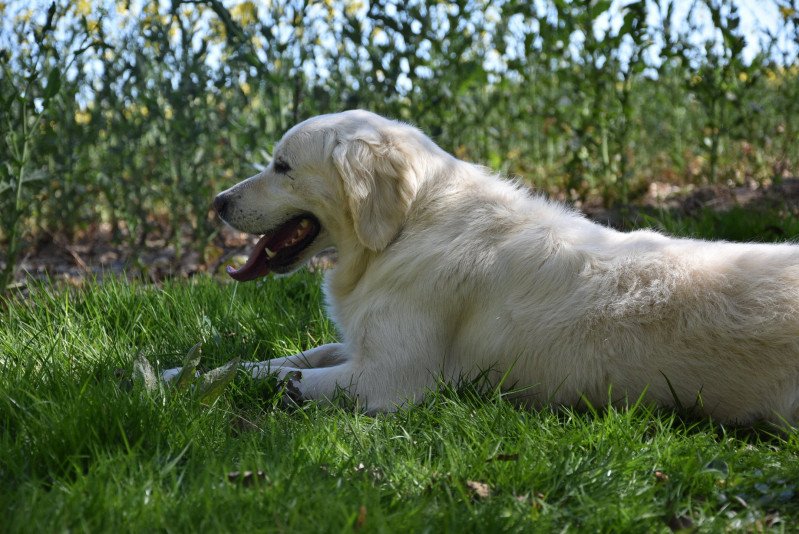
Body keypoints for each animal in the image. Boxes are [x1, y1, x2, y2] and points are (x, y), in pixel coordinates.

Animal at [170, 110, 799, 428]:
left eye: (281, 166)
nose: (217, 203)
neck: (405, 229)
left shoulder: (389, 381)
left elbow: (275, 377)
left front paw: (180, 384)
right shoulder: (361, 347)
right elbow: (269, 360)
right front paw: (178, 372)